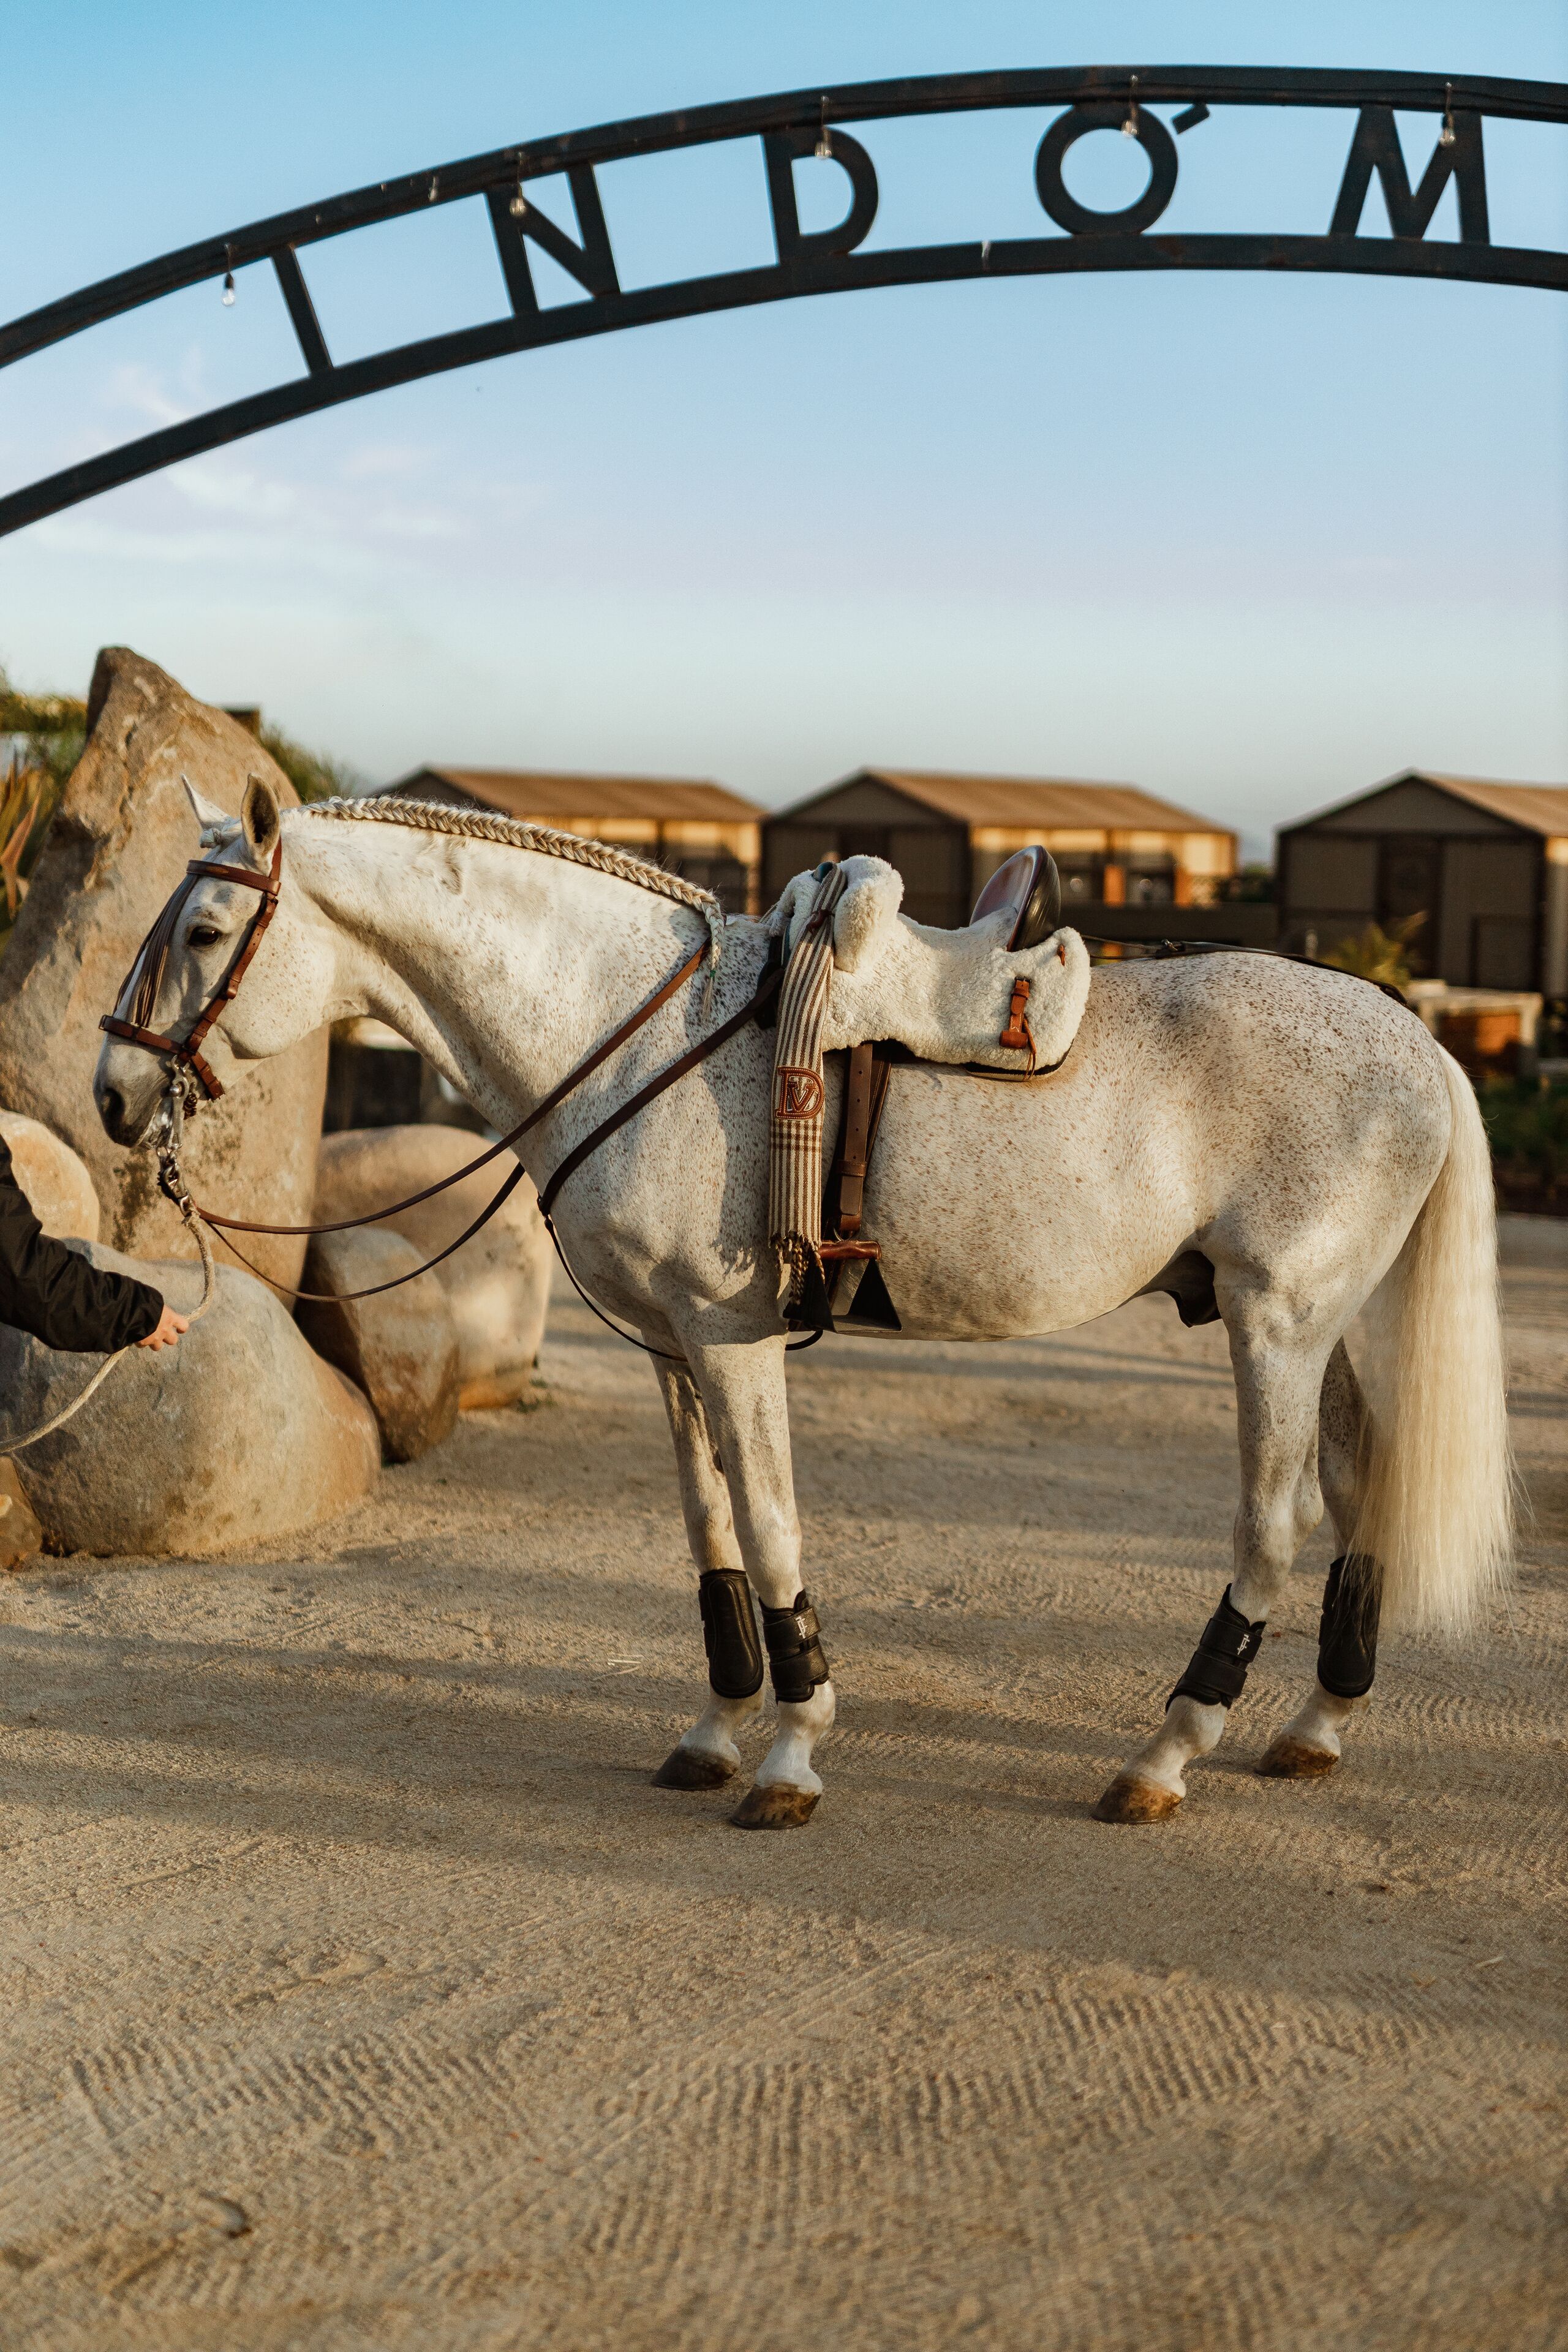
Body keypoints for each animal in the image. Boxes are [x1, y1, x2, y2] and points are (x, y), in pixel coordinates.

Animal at [94, 777, 1511, 1829]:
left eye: (207, 934)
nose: (112, 1093)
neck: (636, 1033)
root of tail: (1412, 1031)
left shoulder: (734, 1345)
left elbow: (771, 1535)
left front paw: (790, 1756)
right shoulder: (672, 1352)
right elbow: (711, 1540)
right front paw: (717, 1731)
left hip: (1280, 1327)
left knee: (1272, 1530)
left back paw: (1163, 1757)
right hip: (1339, 1331)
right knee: (1358, 1499)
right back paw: (1313, 1728)